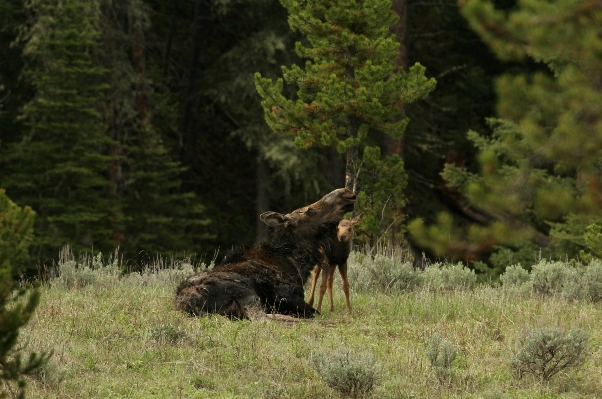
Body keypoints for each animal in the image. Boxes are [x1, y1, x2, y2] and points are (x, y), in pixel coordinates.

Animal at [173, 189, 354, 320]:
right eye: (309, 210)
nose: (346, 193)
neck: (297, 263)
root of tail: (186, 304)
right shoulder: (286, 295)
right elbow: (315, 312)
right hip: (247, 293)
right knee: (266, 319)